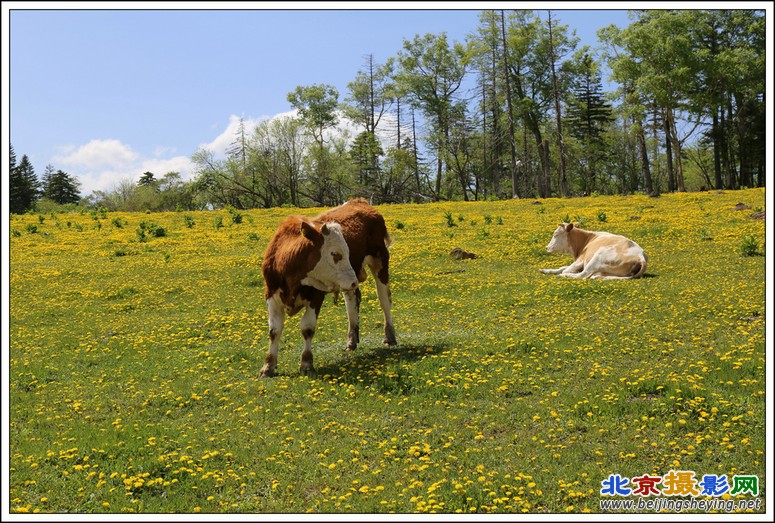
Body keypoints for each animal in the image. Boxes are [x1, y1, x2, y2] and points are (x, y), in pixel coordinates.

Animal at [260, 200, 398, 376]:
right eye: (335, 253)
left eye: (347, 251)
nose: (354, 281)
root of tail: (360, 201)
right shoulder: (271, 295)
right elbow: (274, 330)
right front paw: (268, 366)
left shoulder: (316, 296)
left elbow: (307, 327)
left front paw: (306, 363)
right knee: (351, 302)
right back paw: (351, 340)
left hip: (379, 260)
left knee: (384, 299)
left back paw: (390, 337)